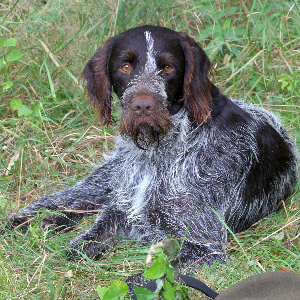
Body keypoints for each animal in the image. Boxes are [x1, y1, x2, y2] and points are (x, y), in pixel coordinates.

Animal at [8, 24, 298, 266]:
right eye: (125, 67)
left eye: (168, 67)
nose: (143, 106)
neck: (161, 151)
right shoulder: (123, 209)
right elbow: (81, 243)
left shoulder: (203, 247)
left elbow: (141, 281)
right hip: (107, 179)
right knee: (66, 198)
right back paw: (20, 222)